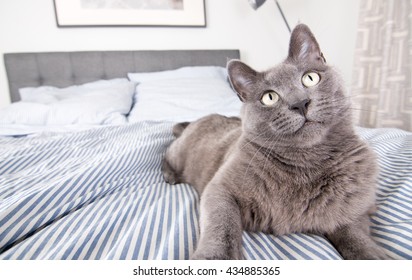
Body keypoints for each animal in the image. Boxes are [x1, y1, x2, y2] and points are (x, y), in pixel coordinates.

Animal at [163, 24, 388, 260]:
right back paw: (171, 176)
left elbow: (353, 232)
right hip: (179, 152)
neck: (307, 164)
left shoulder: (354, 204)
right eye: (269, 97)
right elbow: (222, 224)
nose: (300, 103)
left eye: (310, 78)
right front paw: (216, 257)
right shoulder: (220, 189)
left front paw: (374, 254)